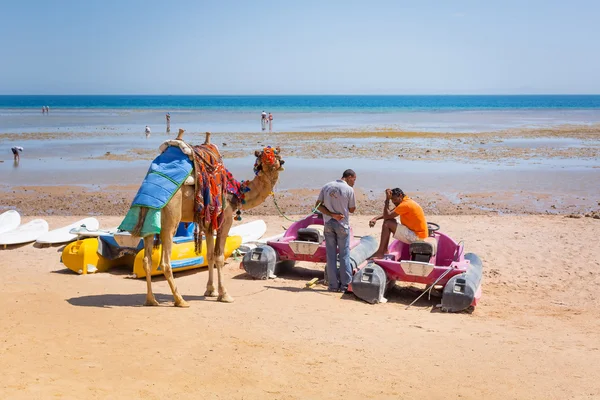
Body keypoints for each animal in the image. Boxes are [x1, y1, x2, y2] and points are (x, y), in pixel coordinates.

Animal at [141, 131, 284, 306]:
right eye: (270, 155)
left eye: (277, 154)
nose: (282, 162)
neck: (237, 192)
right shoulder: (226, 219)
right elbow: (219, 256)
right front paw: (225, 295)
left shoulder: (208, 223)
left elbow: (209, 255)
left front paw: (211, 290)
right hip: (170, 216)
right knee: (165, 262)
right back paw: (180, 300)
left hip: (148, 218)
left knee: (147, 260)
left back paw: (151, 300)